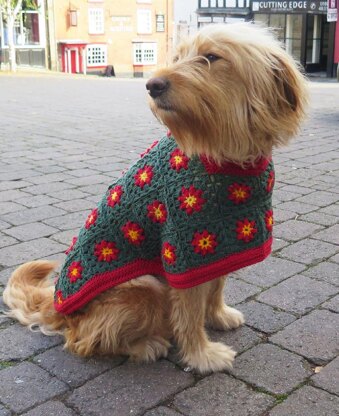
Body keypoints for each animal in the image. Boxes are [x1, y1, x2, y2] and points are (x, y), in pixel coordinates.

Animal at [2, 23, 310, 374]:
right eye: (177, 58)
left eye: (211, 57)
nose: (153, 84)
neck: (221, 152)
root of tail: (57, 306)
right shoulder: (182, 252)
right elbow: (189, 315)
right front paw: (202, 355)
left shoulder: (217, 244)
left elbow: (216, 286)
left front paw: (218, 315)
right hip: (145, 287)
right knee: (82, 340)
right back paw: (144, 345)